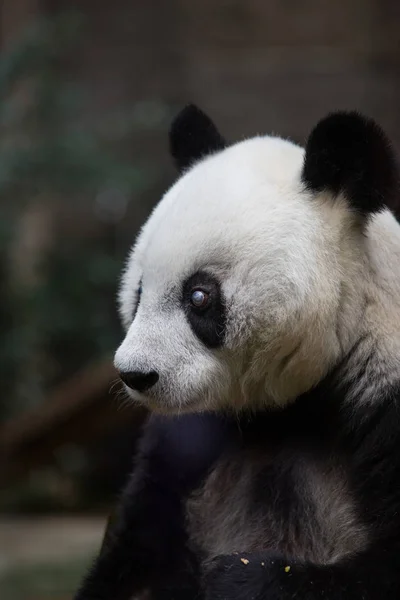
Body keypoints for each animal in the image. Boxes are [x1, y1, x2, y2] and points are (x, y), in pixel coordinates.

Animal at [74, 105, 400, 596]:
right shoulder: (186, 439)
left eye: (199, 296)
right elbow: (136, 549)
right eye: (139, 292)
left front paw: (240, 577)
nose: (136, 375)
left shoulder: (386, 391)